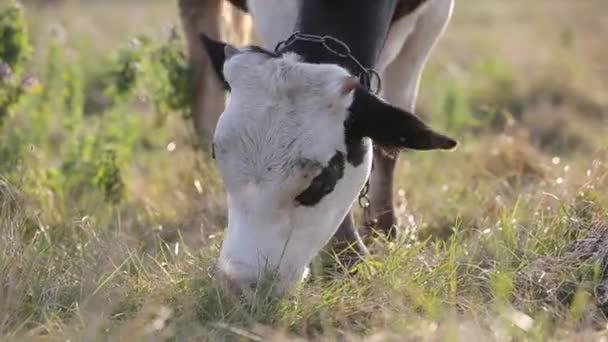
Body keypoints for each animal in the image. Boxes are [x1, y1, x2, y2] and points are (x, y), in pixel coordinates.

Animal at [180, 0, 456, 296]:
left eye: (323, 181)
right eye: (217, 156)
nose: (238, 285)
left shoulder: (433, 16)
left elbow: (391, 138)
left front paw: (383, 233)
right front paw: (347, 260)